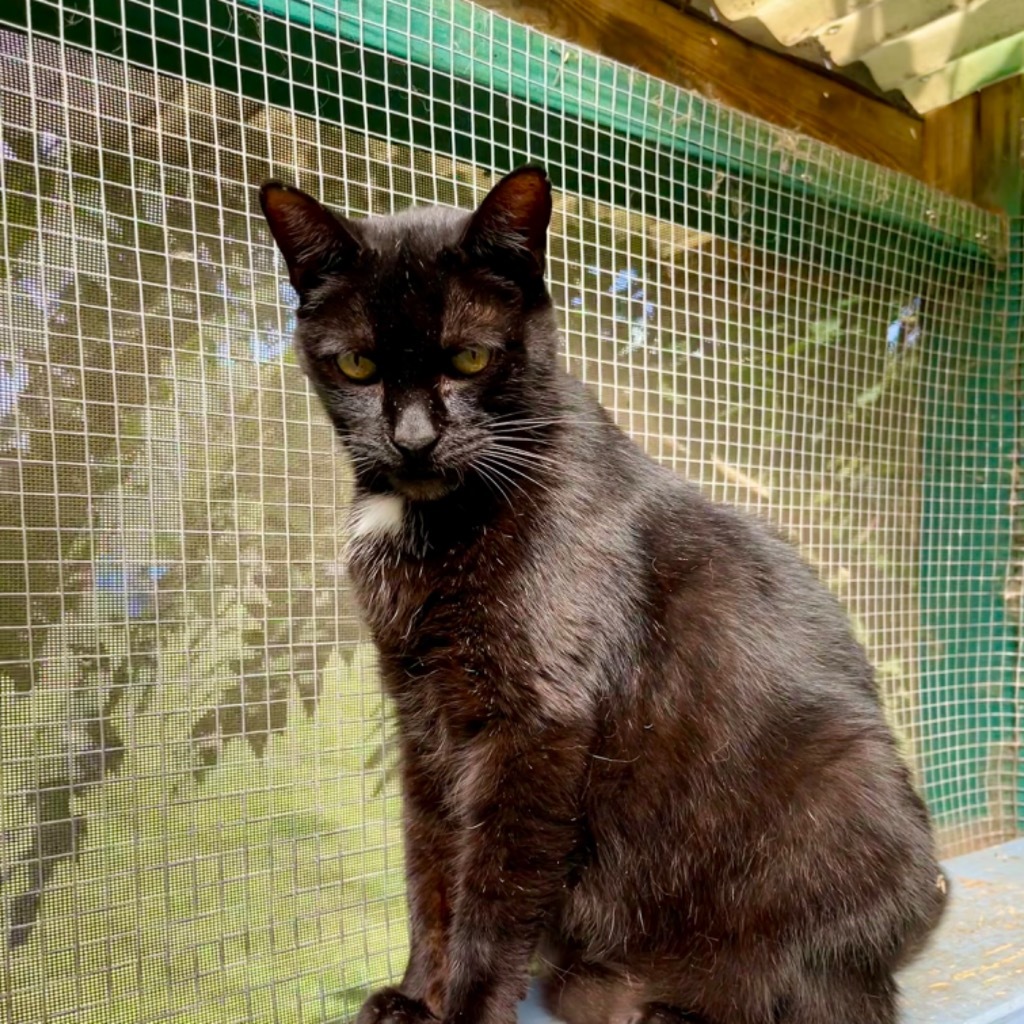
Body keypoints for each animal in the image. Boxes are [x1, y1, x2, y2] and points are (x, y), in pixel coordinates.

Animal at [260, 167, 946, 1024]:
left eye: (471, 357)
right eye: (357, 366)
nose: (414, 439)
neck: (434, 521)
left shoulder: (537, 723)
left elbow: (493, 893)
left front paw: (465, 1010)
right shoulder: (423, 717)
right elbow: (432, 872)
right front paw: (418, 997)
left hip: (843, 784)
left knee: (811, 992)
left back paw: (677, 1011)